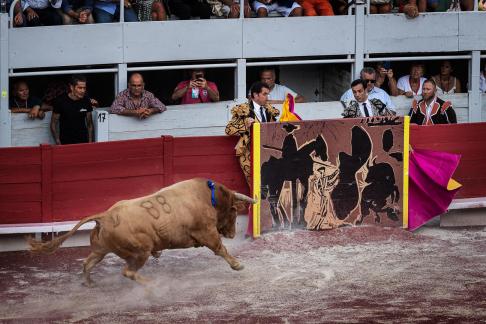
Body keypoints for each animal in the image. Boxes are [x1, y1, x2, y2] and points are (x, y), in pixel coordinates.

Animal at [28, 180, 256, 286]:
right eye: (234, 211)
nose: (232, 234)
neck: (209, 197)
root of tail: (106, 215)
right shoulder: (207, 232)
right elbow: (220, 249)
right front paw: (238, 265)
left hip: (101, 249)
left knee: (88, 263)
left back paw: (89, 283)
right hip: (140, 252)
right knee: (128, 272)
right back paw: (149, 283)